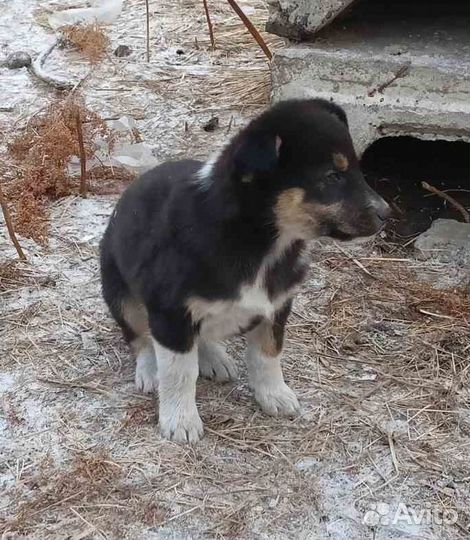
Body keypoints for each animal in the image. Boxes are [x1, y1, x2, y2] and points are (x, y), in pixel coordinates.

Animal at [99, 98, 390, 442]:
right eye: (333, 176)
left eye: (356, 169)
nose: (387, 214)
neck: (261, 244)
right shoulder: (170, 312)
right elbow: (179, 372)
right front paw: (180, 421)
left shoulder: (277, 306)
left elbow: (267, 355)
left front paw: (274, 395)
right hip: (119, 292)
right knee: (139, 336)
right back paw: (150, 370)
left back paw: (213, 357)